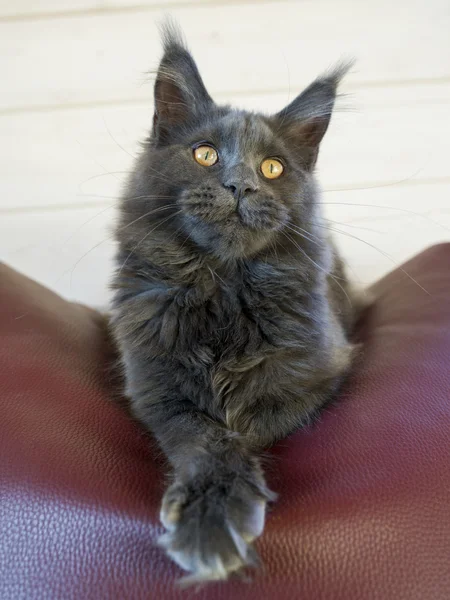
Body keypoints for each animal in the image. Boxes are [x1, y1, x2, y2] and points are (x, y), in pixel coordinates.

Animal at [110, 24, 356, 584]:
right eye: (204, 155)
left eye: (272, 168)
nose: (240, 185)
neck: (222, 290)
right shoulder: (157, 390)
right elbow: (207, 438)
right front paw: (210, 516)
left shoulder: (317, 377)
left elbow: (246, 426)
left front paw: (217, 509)